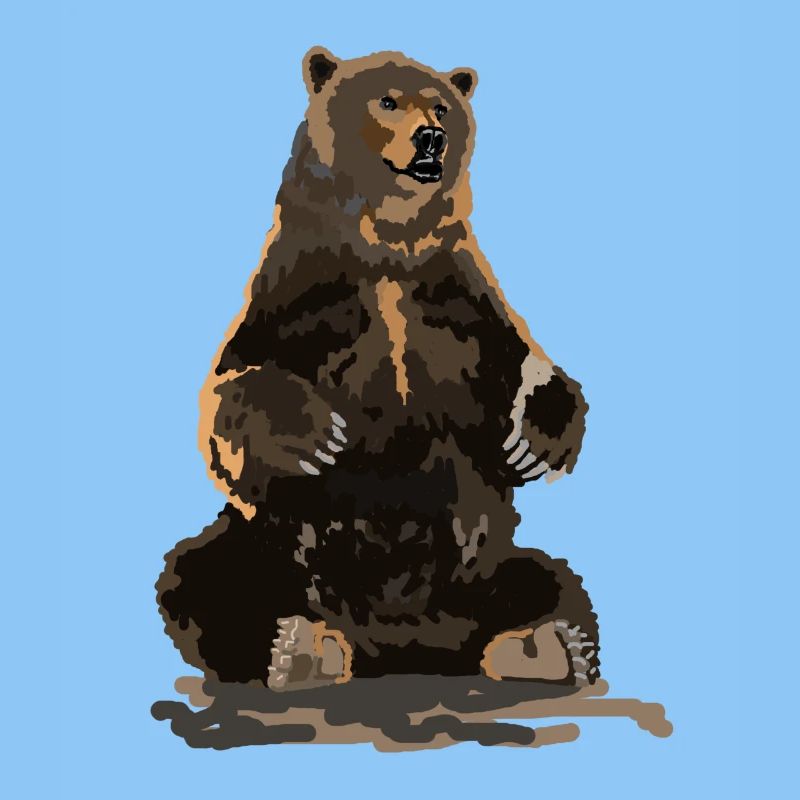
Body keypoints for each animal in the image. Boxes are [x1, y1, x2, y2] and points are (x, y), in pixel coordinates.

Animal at [156, 47, 598, 691]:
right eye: (387, 100)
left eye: (443, 106)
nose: (432, 138)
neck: (387, 244)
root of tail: (401, 646)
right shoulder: (303, 290)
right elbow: (231, 388)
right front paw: (316, 433)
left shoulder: (455, 292)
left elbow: (519, 362)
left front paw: (532, 440)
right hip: (271, 550)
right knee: (198, 574)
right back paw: (297, 649)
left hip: (483, 566)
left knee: (551, 578)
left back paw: (547, 646)